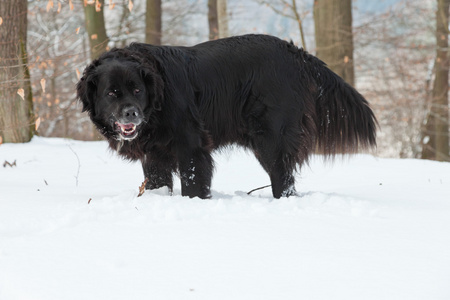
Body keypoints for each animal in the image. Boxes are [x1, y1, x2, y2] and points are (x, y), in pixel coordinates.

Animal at [76, 34, 376, 198]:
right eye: (112, 93)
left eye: (137, 90)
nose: (132, 113)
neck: (158, 102)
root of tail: (298, 54)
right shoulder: (155, 154)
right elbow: (158, 182)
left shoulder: (191, 145)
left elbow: (193, 183)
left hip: (271, 140)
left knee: (284, 180)